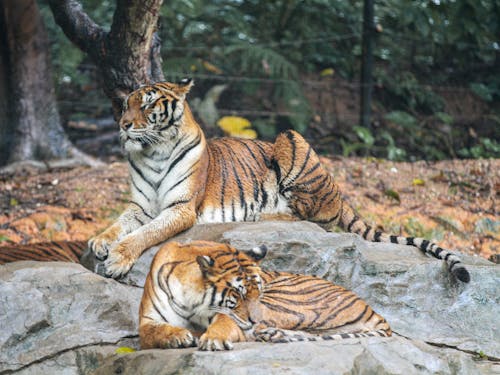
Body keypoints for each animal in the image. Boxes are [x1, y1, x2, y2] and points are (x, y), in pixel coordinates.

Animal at [89, 78, 468, 282]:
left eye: (147, 104)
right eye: (126, 105)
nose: (123, 125)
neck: (153, 152)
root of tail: (339, 192)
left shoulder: (180, 209)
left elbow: (144, 235)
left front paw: (117, 259)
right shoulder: (139, 206)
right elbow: (118, 225)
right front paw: (98, 242)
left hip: (291, 138)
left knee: (312, 218)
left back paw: (262, 214)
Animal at [139, 241, 392, 352]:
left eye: (257, 292)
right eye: (238, 294)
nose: (255, 320)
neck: (190, 300)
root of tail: (374, 311)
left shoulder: (231, 316)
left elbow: (224, 323)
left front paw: (212, 339)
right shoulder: (147, 320)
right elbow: (153, 332)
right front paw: (178, 336)